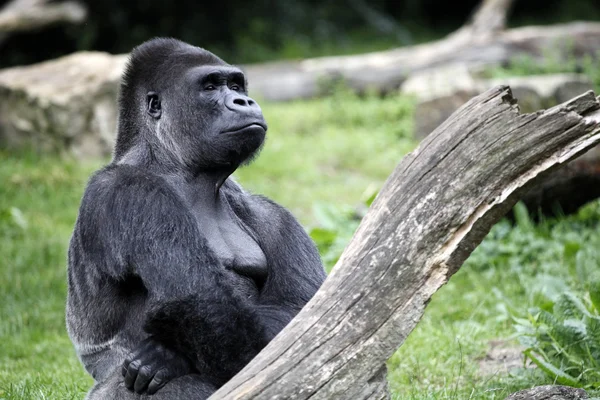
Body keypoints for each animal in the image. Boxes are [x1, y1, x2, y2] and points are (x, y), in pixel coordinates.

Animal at [65, 38, 326, 400]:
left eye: (236, 85)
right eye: (210, 86)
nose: (244, 101)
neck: (177, 168)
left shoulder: (268, 212)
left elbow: (298, 306)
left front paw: (165, 358)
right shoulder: (132, 192)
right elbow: (194, 300)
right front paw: (167, 358)